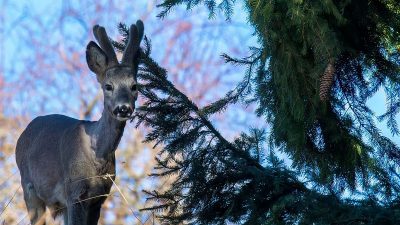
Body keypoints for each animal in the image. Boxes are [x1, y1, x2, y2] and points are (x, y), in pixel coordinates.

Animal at [15, 19, 144, 225]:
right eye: (108, 86)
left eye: (134, 86)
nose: (123, 108)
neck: (97, 159)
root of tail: (24, 133)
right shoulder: (74, 190)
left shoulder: (99, 197)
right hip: (29, 188)